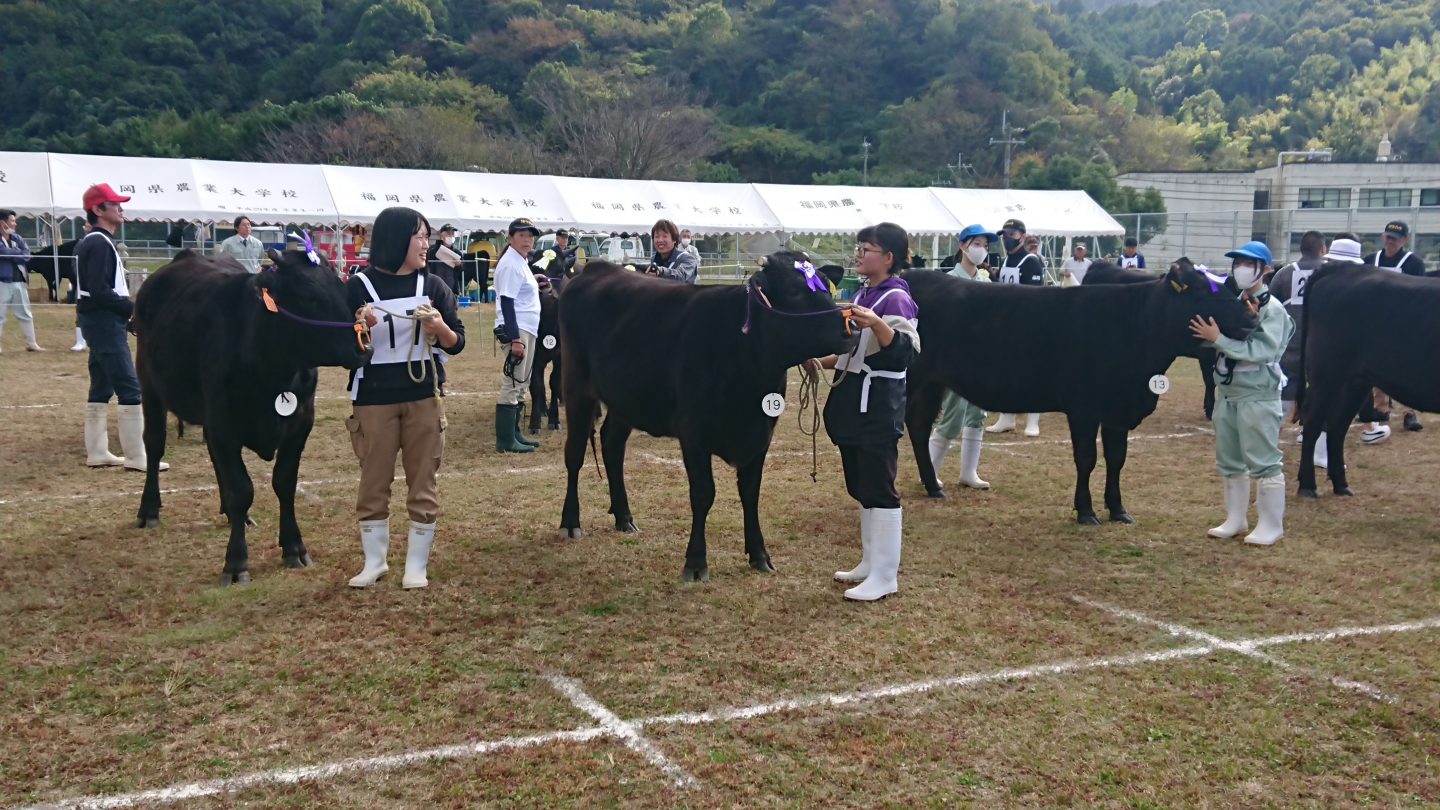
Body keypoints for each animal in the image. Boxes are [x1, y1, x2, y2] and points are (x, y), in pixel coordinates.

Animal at [132, 246, 374, 579]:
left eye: (343, 289)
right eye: (309, 296)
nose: (363, 348)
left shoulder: (300, 424)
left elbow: (284, 483)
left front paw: (294, 548)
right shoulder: (223, 424)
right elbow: (242, 490)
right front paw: (236, 561)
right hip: (150, 383)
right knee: (154, 444)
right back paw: (149, 510)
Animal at [558, 249, 852, 576]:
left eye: (827, 287)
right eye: (794, 290)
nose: (849, 328)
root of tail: (596, 268)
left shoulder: (761, 434)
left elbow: (751, 493)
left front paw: (759, 555)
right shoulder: (694, 434)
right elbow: (703, 495)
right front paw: (696, 562)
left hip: (625, 398)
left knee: (612, 445)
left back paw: (624, 517)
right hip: (576, 387)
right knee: (575, 454)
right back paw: (570, 522)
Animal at [1301, 262, 1434, 495]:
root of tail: (1345, 268)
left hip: (1354, 383)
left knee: (1337, 426)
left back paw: (1342, 485)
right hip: (1327, 375)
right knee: (1313, 424)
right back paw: (1308, 487)